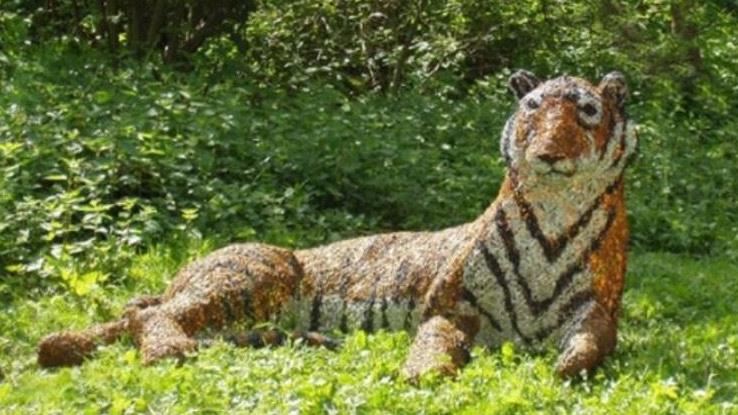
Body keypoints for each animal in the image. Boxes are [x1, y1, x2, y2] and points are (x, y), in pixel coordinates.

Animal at [37, 70, 638, 379]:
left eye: (586, 111)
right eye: (534, 108)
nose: (549, 153)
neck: (554, 217)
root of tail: (182, 273)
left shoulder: (598, 307)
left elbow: (593, 341)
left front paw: (567, 364)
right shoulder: (447, 306)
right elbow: (434, 348)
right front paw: (423, 373)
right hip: (252, 273)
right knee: (149, 316)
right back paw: (168, 349)